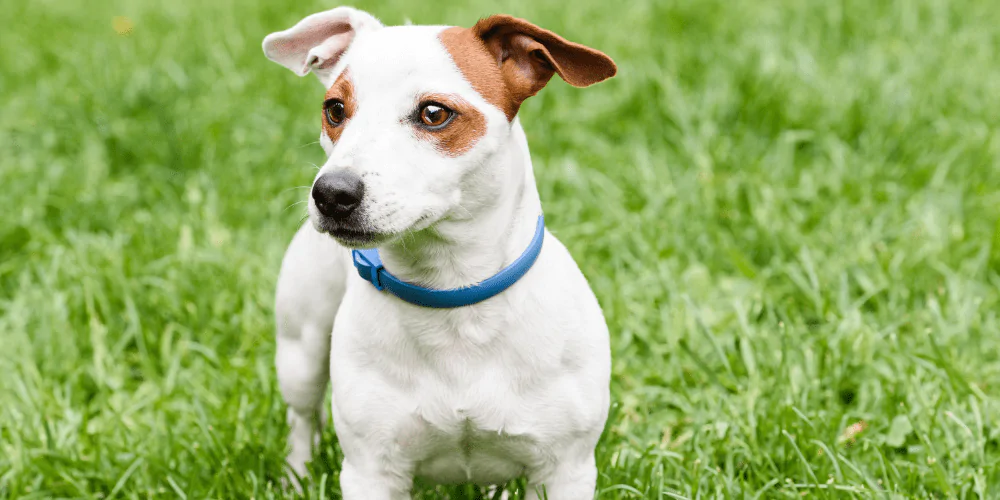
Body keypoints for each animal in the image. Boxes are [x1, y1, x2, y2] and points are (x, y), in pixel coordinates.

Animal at [262, 7, 616, 500]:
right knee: (301, 417)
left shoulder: (566, 469)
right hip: (301, 348)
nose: (331, 192)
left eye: (434, 113)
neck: (451, 293)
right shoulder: (371, 471)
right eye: (335, 109)